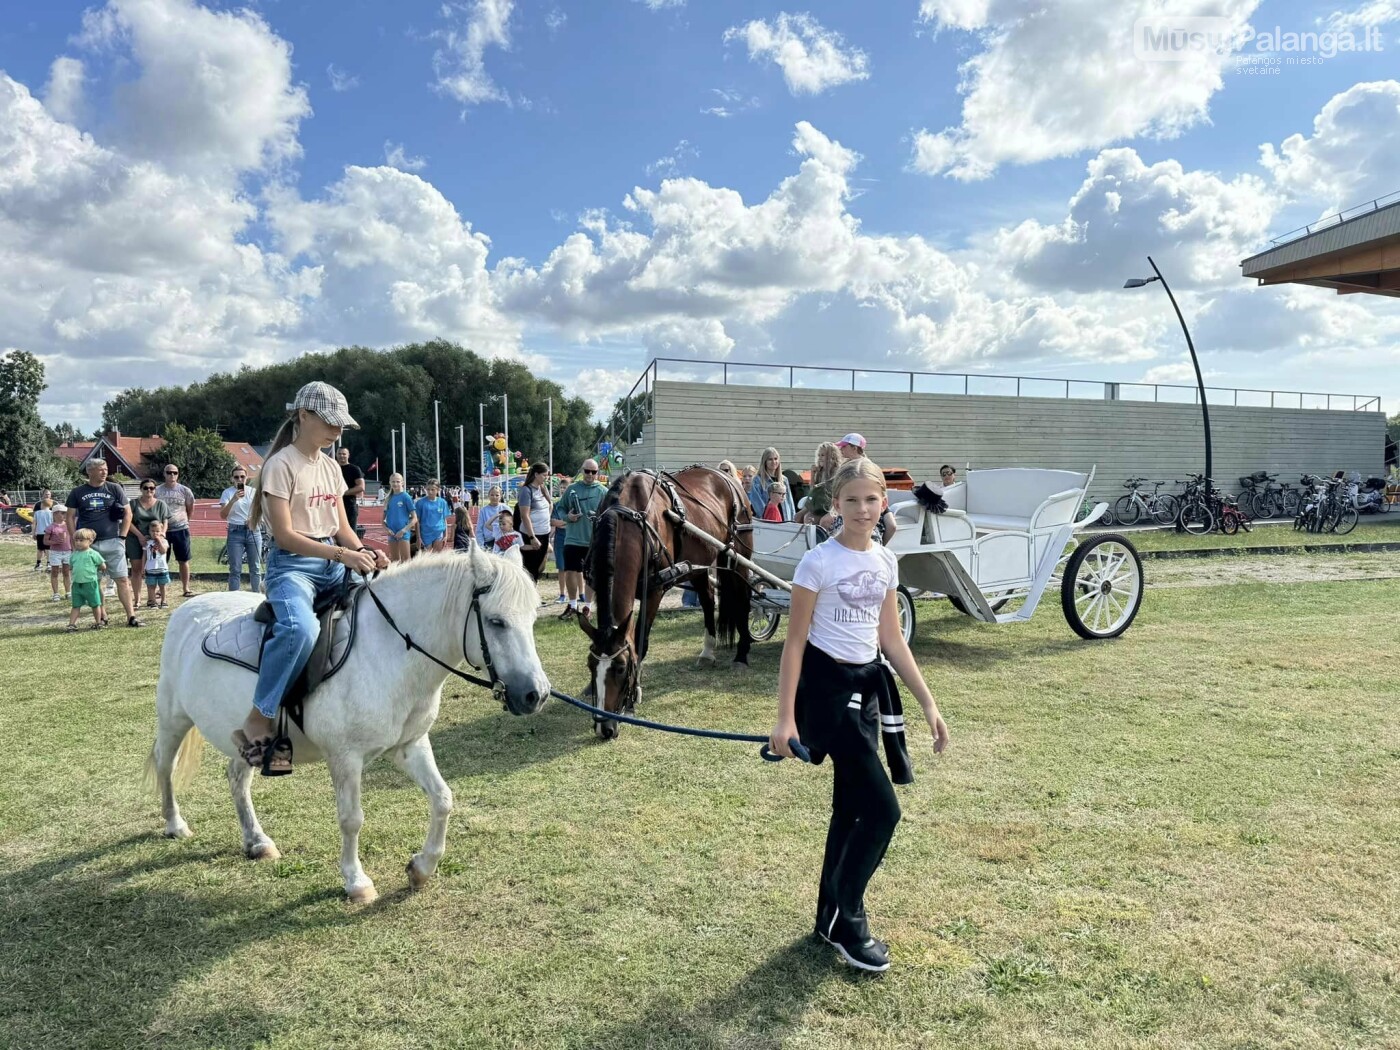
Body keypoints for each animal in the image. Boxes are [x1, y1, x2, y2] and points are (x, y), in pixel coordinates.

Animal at [147, 543, 548, 907]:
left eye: (532, 619)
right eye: (496, 621)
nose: (536, 694)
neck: (387, 652)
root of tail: (189, 608)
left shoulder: (410, 745)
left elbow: (443, 799)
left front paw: (421, 868)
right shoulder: (346, 757)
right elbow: (352, 819)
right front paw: (357, 882)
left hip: (246, 741)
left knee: (236, 779)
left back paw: (257, 842)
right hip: (173, 718)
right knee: (165, 765)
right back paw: (174, 824)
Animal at [576, 467, 761, 739]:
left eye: (621, 668)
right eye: (590, 666)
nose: (605, 728)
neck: (629, 516)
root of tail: (727, 477)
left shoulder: (654, 591)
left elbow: (641, 642)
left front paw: (633, 697)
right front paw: (590, 689)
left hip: (738, 557)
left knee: (744, 601)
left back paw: (742, 654)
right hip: (700, 562)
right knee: (707, 599)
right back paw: (707, 651)